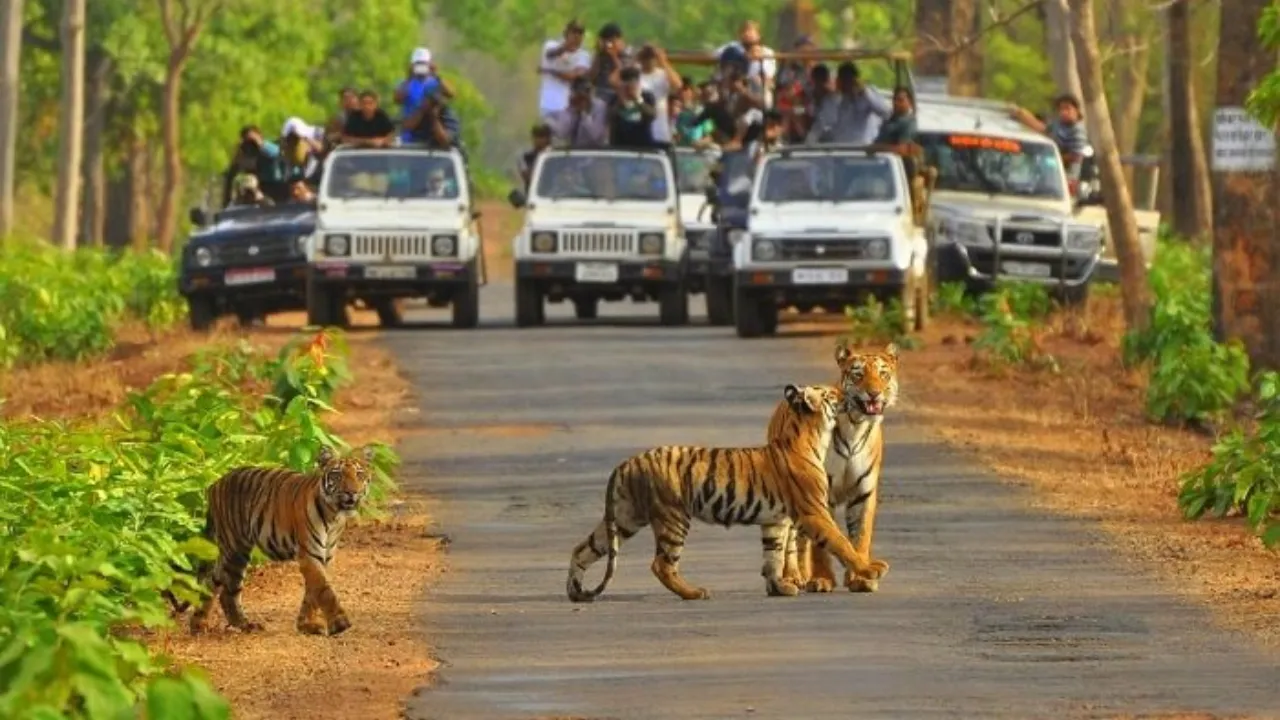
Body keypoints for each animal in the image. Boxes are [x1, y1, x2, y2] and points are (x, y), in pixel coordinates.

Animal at [167, 443, 373, 632]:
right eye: (337, 475)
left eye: (360, 475)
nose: (352, 492)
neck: (334, 516)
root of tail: (215, 484)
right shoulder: (309, 554)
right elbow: (324, 589)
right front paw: (339, 623)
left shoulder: (326, 556)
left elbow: (313, 591)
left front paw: (306, 625)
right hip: (235, 549)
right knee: (227, 590)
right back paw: (243, 625)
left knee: (212, 581)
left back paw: (199, 624)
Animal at [568, 381, 880, 599]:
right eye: (830, 394)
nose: (846, 393)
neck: (811, 435)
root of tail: (626, 463)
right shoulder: (813, 511)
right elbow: (841, 542)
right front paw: (871, 570)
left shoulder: (775, 521)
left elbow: (774, 556)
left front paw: (779, 587)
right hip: (673, 517)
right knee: (662, 565)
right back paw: (694, 593)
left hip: (625, 517)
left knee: (583, 548)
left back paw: (575, 592)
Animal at [778, 340, 901, 594]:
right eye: (858, 374)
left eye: (883, 374)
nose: (874, 393)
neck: (856, 425)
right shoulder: (819, 493)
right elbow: (821, 544)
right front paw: (822, 579)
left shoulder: (863, 492)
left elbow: (860, 536)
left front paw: (860, 578)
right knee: (792, 539)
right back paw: (793, 577)